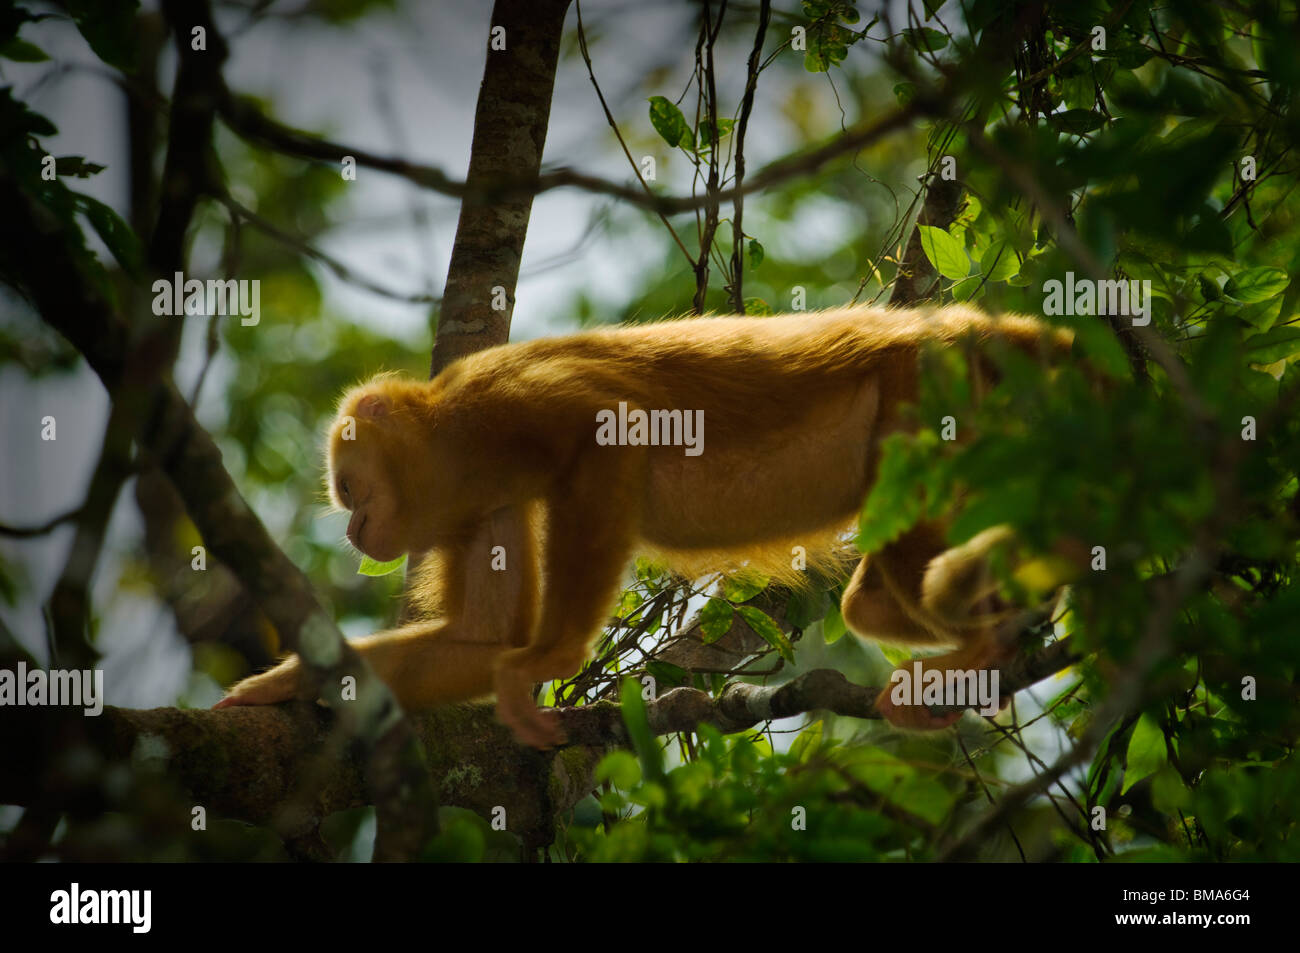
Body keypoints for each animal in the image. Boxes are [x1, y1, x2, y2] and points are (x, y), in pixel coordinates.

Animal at [218, 304, 1076, 743]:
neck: (454, 437)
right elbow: (480, 643)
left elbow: (609, 437)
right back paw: (1005, 632)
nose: (354, 530)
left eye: (351, 488)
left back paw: (987, 645)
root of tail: (971, 322)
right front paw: (285, 682)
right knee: (872, 599)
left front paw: (550, 656)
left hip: (930, 383)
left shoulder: (503, 403)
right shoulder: (487, 499)